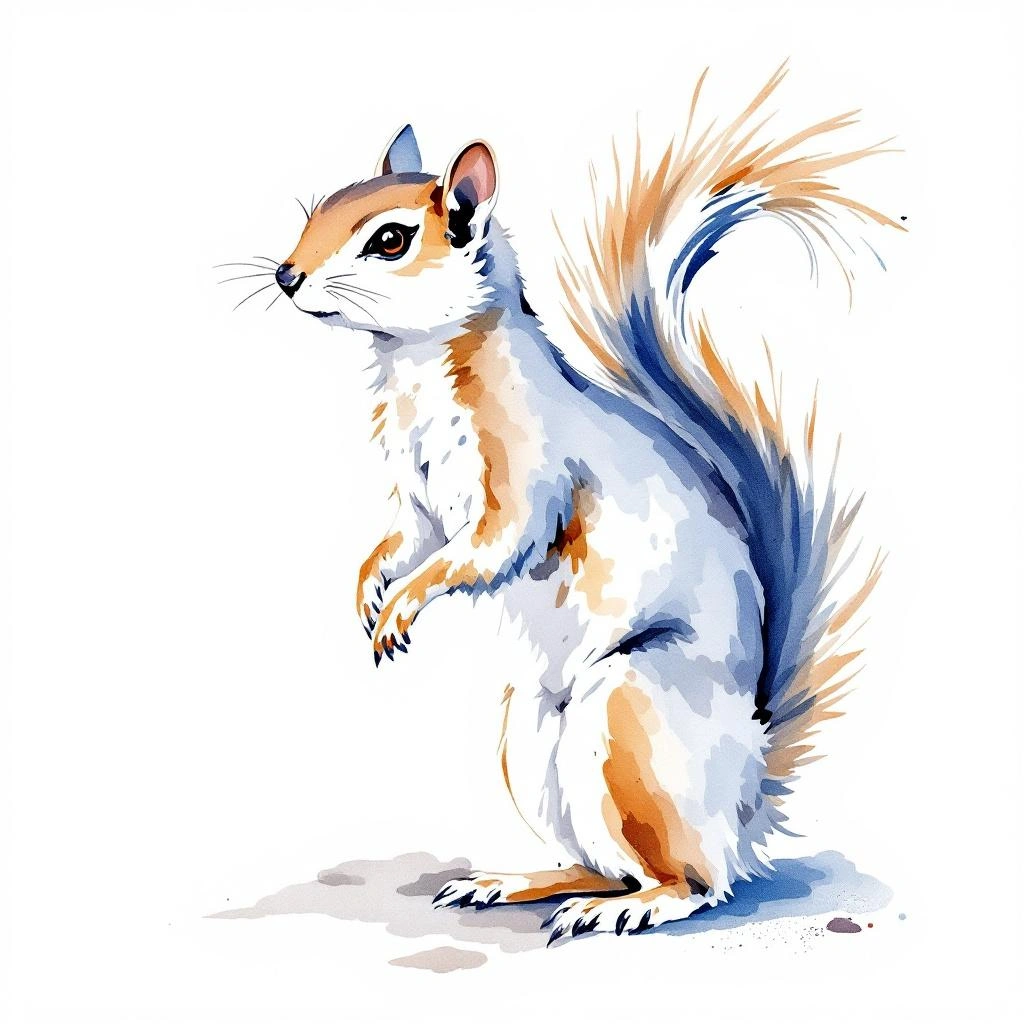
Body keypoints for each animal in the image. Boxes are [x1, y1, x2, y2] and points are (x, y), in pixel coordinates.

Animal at [263, 67, 897, 942]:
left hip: (629, 716)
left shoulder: (525, 471)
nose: (286, 275)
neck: (419, 364)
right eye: (320, 206)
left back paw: (637, 905)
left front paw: (403, 606)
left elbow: (492, 545)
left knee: (693, 880)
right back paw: (519, 882)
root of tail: (744, 793)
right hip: (530, 734)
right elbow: (404, 538)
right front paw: (369, 590)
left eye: (389, 240)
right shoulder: (417, 497)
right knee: (602, 860)